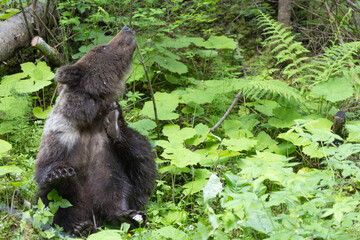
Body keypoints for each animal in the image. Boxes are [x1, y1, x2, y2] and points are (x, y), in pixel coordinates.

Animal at [34, 26, 156, 236]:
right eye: (104, 46)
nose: (126, 29)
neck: (91, 118)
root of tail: (92, 216)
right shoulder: (61, 134)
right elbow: (45, 167)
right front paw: (58, 173)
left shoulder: (104, 142)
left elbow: (140, 162)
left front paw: (116, 124)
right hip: (71, 201)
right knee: (54, 202)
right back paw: (78, 227)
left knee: (115, 189)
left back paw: (125, 215)